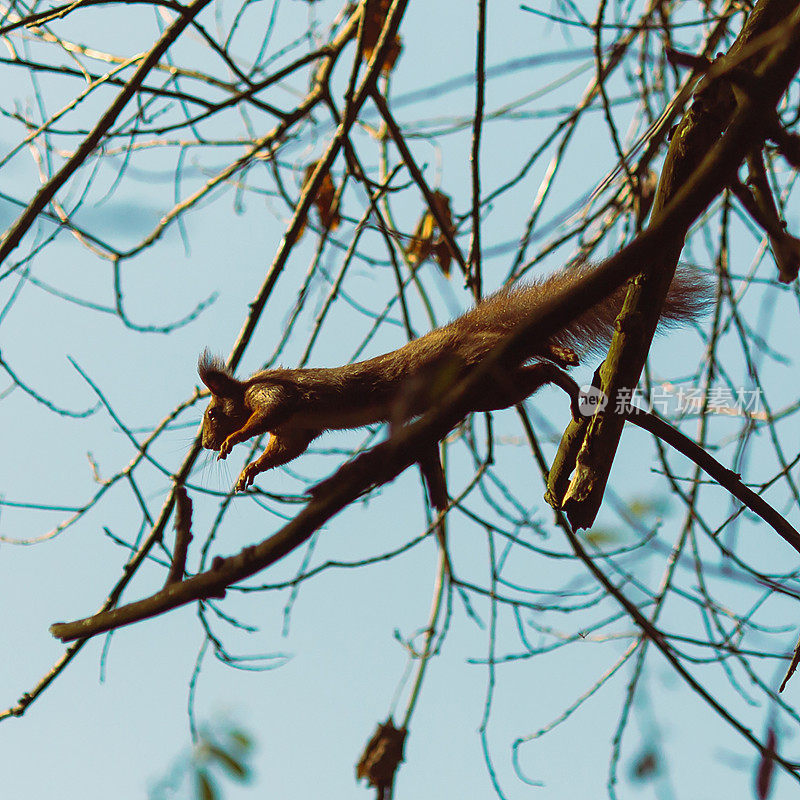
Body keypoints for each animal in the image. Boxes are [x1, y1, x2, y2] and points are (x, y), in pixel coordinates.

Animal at [198, 260, 708, 494]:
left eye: (210, 413)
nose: (204, 443)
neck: (244, 389)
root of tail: (460, 331)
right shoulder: (298, 431)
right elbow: (285, 449)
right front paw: (250, 470)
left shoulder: (274, 395)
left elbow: (269, 413)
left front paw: (235, 442)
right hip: (492, 389)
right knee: (533, 375)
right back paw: (564, 383)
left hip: (475, 355)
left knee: (522, 346)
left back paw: (558, 353)